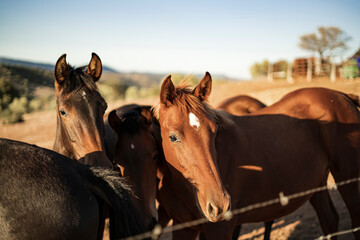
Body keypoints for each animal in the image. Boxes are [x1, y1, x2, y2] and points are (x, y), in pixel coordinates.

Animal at [155, 72, 360, 239]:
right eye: (173, 137)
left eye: (214, 132)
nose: (220, 204)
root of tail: (343, 96)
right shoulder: (184, 227)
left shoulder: (220, 230)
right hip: (317, 184)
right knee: (330, 220)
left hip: (348, 179)